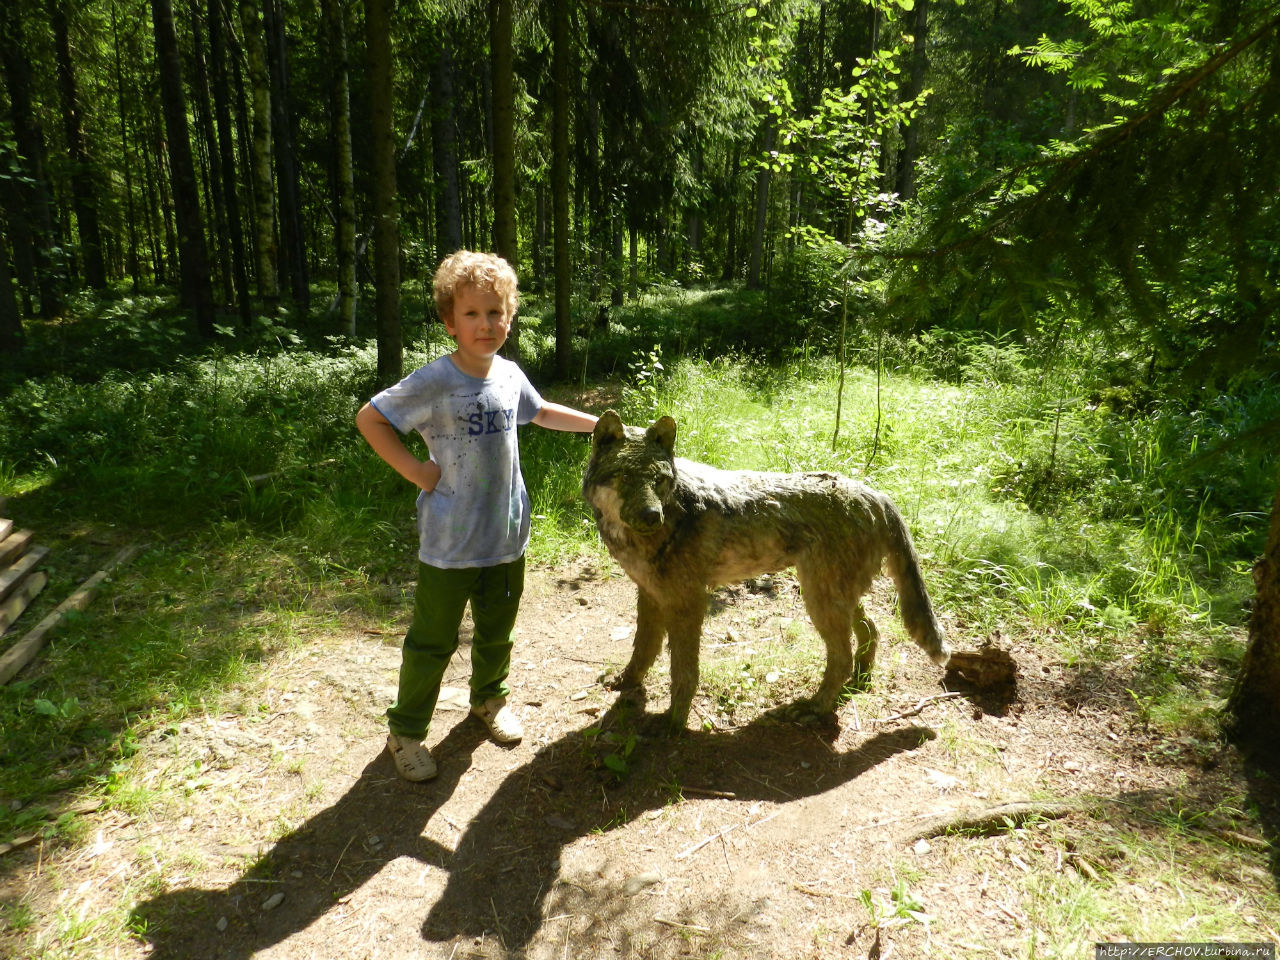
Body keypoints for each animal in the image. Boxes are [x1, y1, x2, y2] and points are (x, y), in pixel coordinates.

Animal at [583, 409, 952, 732]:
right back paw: (858, 680)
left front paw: (673, 722)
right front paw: (626, 683)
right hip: (832, 597)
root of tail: (876, 494)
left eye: (658, 480)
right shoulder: (650, 595)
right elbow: (642, 651)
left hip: (819, 601)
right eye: (625, 477)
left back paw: (815, 708)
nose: (651, 516)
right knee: (871, 630)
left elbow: (683, 673)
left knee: (842, 657)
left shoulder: (688, 604)